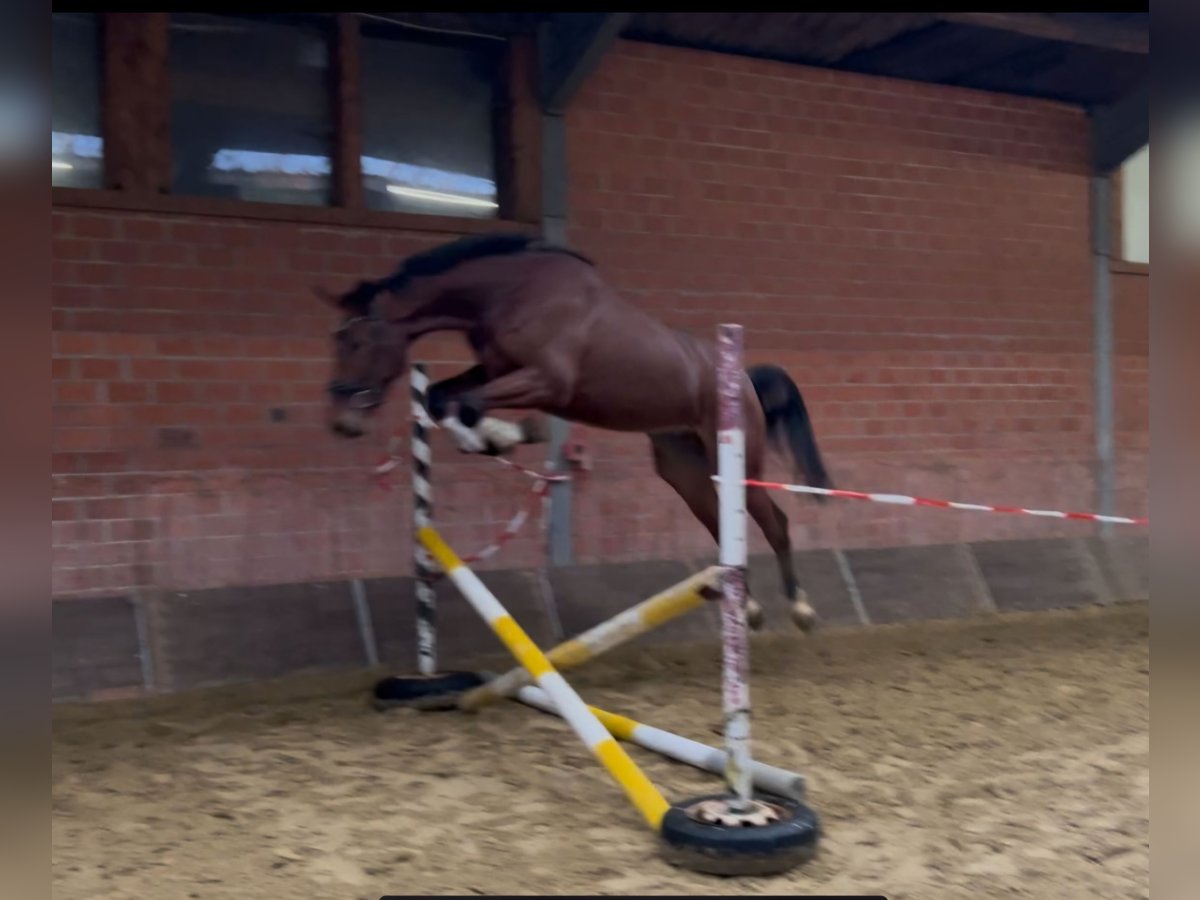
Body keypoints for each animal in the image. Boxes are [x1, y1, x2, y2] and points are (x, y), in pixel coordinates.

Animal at [319, 232, 833, 632]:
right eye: (338, 340)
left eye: (357, 341)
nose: (343, 422)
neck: (512, 291)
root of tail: (743, 378)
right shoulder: (494, 370)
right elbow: (441, 397)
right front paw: (492, 438)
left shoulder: (546, 381)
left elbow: (467, 404)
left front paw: (503, 436)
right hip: (686, 470)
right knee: (722, 523)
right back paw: (748, 607)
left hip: (738, 460)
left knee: (775, 522)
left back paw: (801, 608)